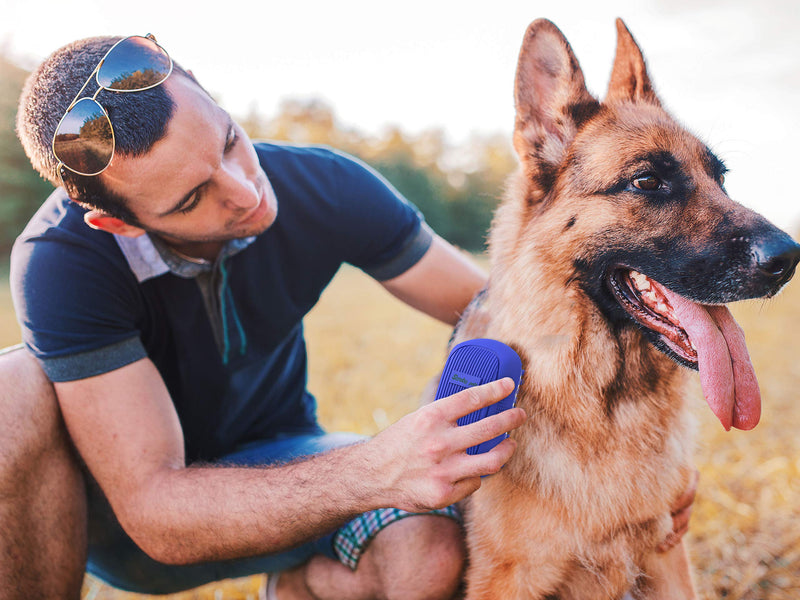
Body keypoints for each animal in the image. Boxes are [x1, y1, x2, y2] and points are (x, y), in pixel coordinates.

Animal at [446, 16, 800, 596]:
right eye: (647, 181)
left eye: (720, 178)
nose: (789, 258)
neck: (608, 405)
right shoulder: (506, 576)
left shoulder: (668, 559)